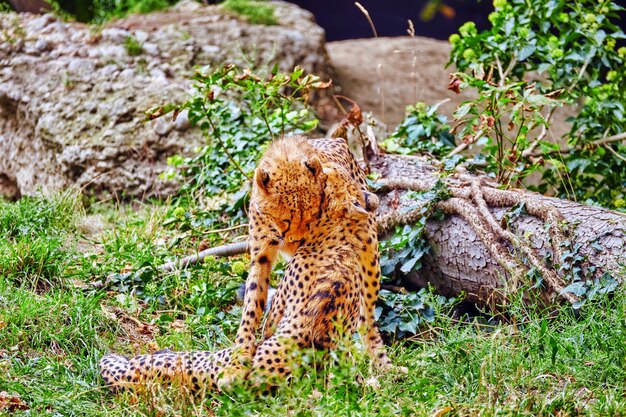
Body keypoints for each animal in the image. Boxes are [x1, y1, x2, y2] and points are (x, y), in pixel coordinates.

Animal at [97, 136, 390, 390]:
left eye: (311, 215)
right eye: (285, 219)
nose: (296, 241)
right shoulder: (261, 255)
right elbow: (252, 306)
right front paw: (238, 361)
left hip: (371, 261)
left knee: (368, 317)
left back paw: (380, 363)